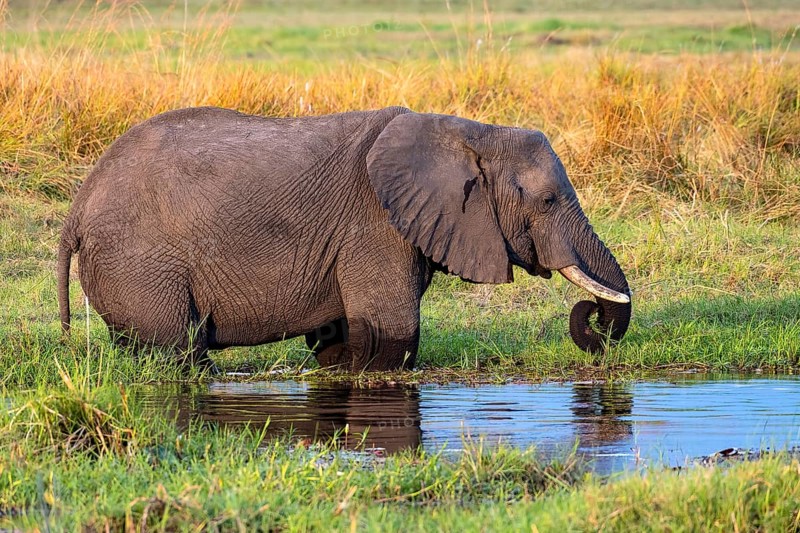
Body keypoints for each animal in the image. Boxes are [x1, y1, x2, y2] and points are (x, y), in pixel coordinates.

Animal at [57, 106, 631, 371]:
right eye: (549, 201)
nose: (592, 321)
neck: (467, 131)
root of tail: (77, 207)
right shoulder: (374, 228)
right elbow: (391, 336)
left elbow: (338, 342)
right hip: (140, 262)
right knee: (176, 351)